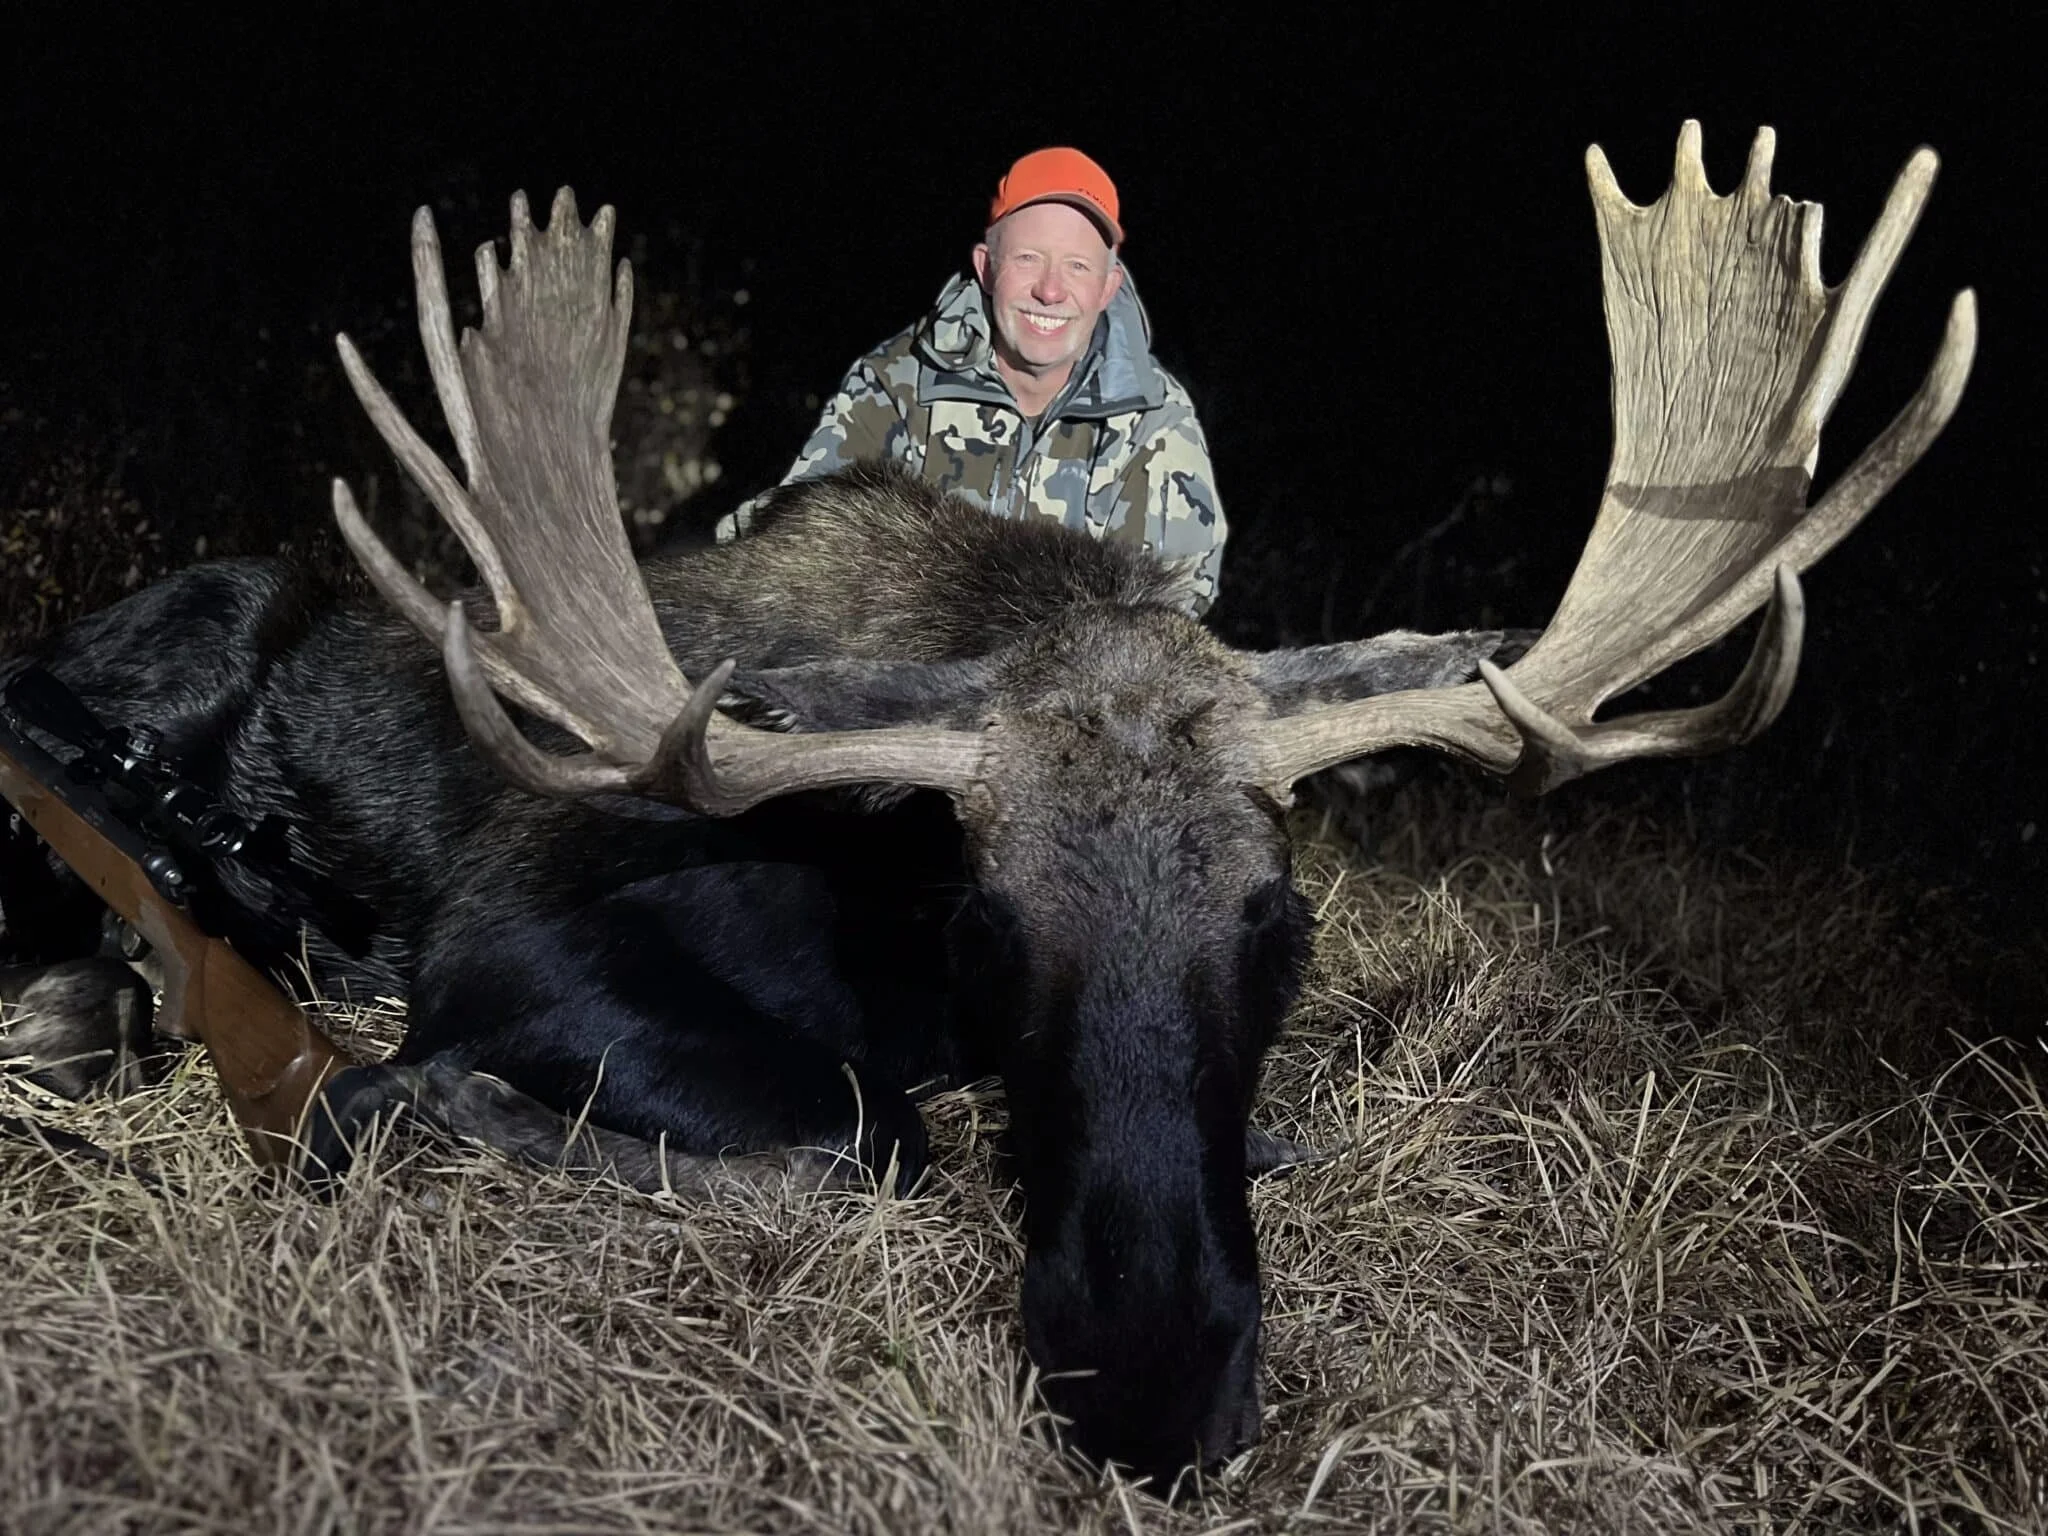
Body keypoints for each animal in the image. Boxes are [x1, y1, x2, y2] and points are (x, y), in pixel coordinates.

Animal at [0, 124, 1973, 1486]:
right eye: (986, 917)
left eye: (1281, 921)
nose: (1150, 1390)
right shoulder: (511, 938)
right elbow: (868, 1137)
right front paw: (435, 1103)